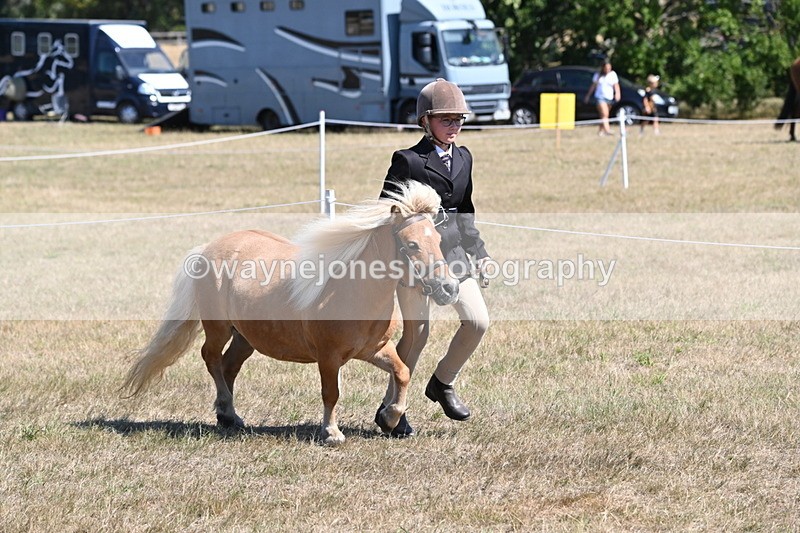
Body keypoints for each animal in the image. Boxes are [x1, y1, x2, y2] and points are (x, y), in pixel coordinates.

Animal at [122, 181, 459, 445]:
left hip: (246, 337)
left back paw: (229, 416)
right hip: (218, 328)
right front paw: (331, 433)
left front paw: (389, 418)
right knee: (212, 359)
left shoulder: (375, 349)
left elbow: (402, 372)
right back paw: (226, 409)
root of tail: (207, 249)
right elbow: (331, 392)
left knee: (229, 366)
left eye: (438, 240)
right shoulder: (328, 356)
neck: (352, 290)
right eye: (411, 244)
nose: (449, 288)